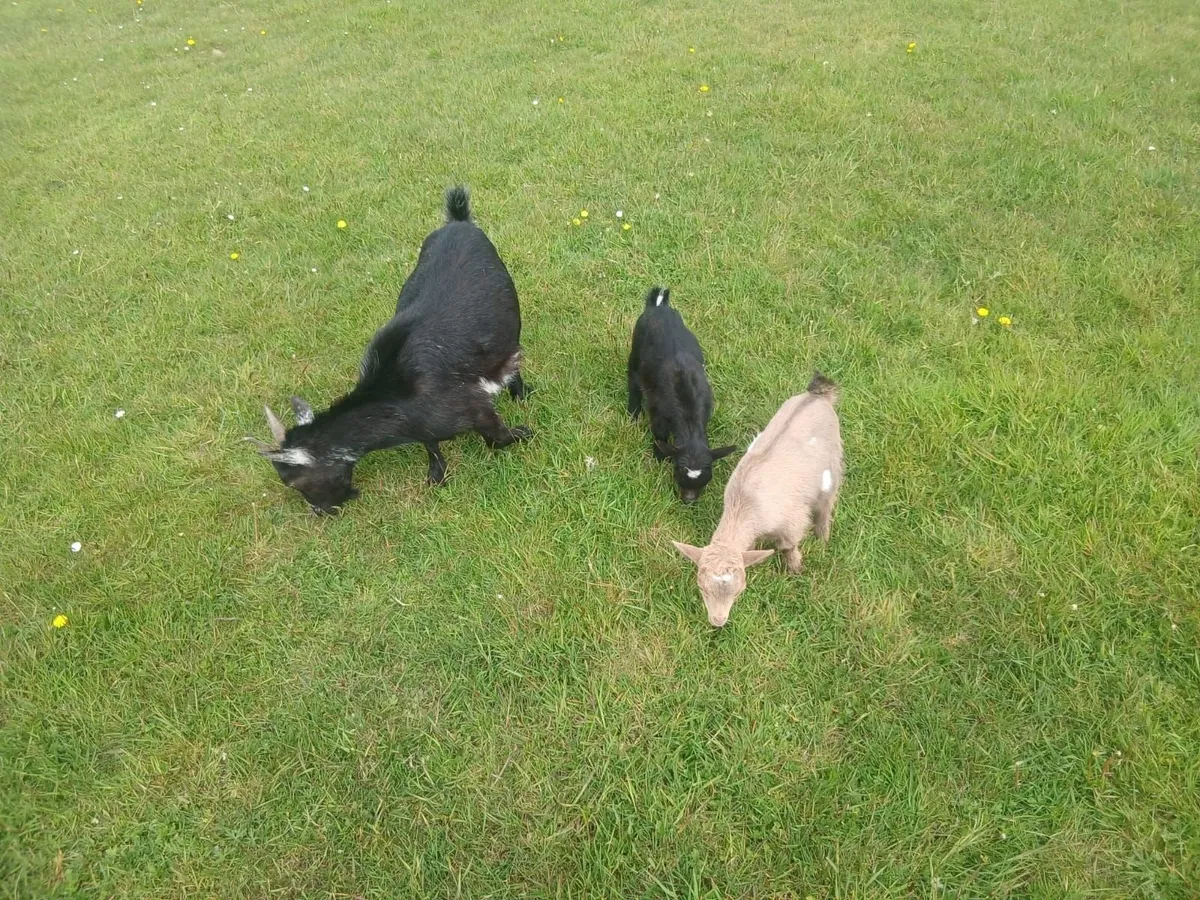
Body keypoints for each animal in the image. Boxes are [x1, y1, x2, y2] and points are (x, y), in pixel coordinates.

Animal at [248, 186, 531, 514]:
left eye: (292, 482)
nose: (322, 511)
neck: (396, 401)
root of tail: (459, 222)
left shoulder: (475, 407)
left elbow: (497, 439)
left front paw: (524, 433)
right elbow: (431, 444)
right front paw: (436, 475)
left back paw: (520, 394)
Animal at [627, 286, 734, 503]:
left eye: (706, 478)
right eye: (678, 473)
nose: (688, 500)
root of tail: (659, 306)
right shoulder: (658, 413)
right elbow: (660, 436)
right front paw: (659, 458)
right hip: (636, 348)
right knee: (632, 377)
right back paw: (632, 412)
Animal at [672, 372, 843, 626]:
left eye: (739, 591)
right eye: (701, 588)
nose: (718, 621)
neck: (744, 505)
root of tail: (818, 396)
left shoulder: (792, 521)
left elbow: (788, 546)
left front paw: (795, 569)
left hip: (833, 464)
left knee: (826, 504)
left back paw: (822, 537)